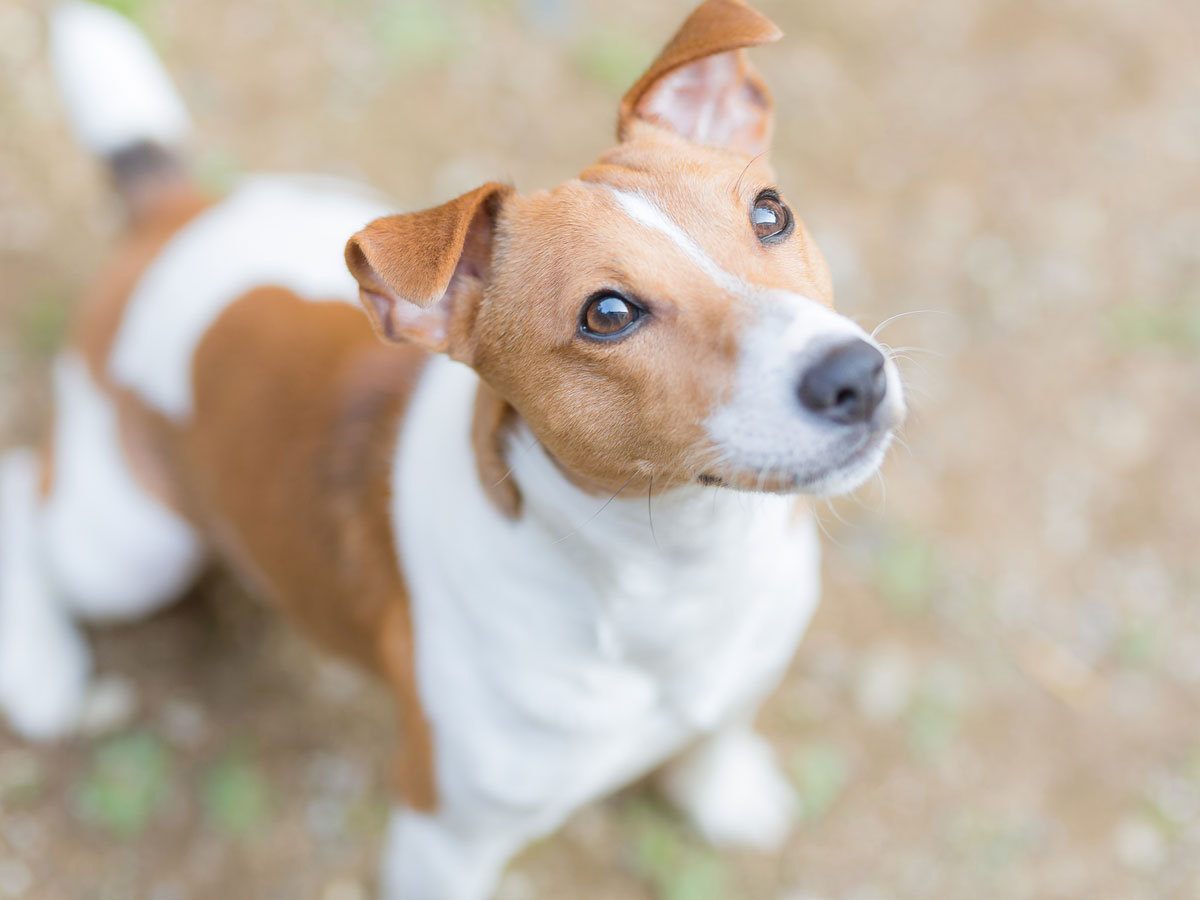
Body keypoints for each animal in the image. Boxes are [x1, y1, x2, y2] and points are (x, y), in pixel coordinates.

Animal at [0, 1, 902, 897]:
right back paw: (42, 668)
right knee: (25, 491)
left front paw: (724, 790)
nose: (854, 375)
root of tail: (172, 214)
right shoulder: (444, 838)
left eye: (770, 213)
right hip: (131, 551)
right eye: (607, 314)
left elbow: (720, 727)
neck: (680, 569)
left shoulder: (753, 655)